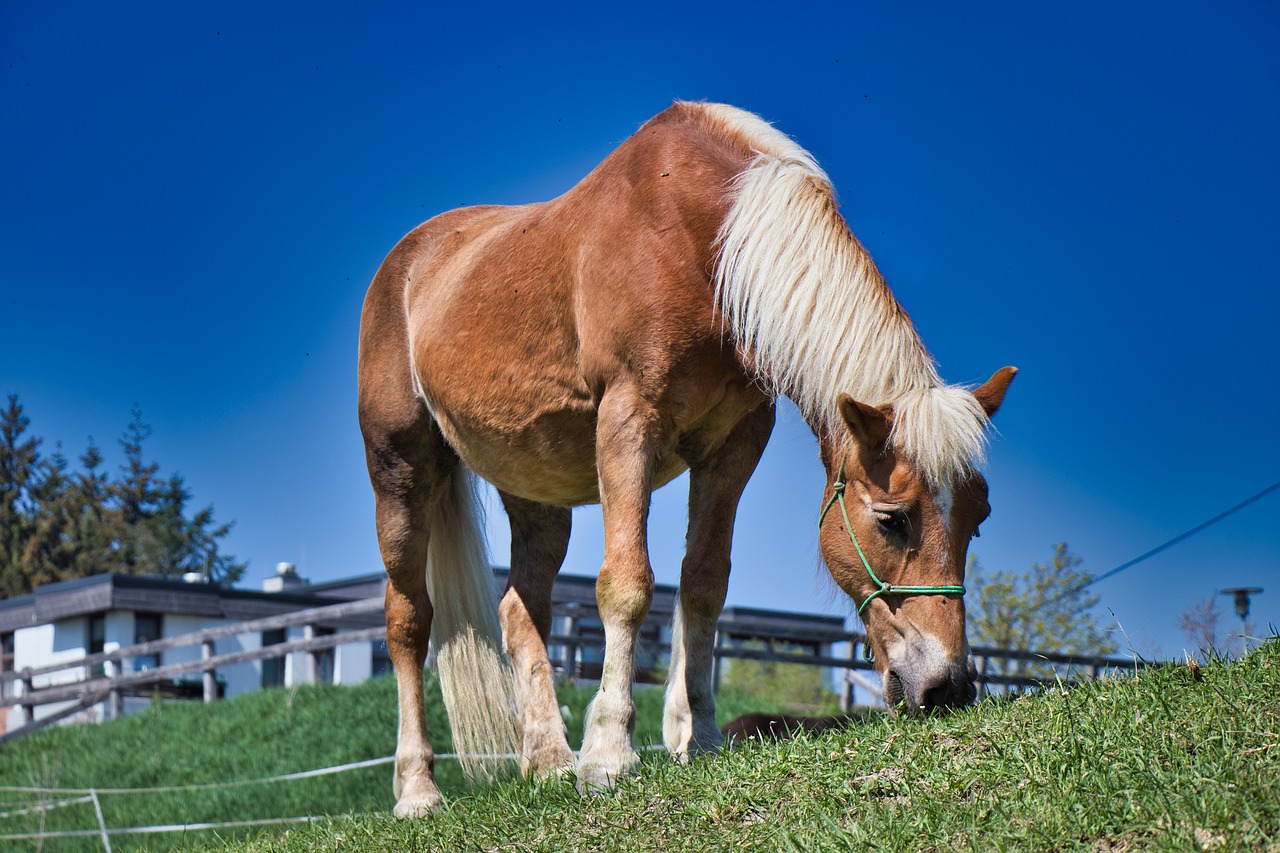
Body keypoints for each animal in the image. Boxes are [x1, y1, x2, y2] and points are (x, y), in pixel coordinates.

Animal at [355, 97, 1013, 809]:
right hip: (400, 474)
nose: (948, 687)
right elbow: (627, 585)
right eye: (892, 519)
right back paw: (418, 788)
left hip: (535, 494)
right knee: (407, 621)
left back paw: (548, 760)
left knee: (520, 612)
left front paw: (699, 737)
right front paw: (609, 754)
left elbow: (703, 584)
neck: (707, 239)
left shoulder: (734, 445)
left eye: (977, 522)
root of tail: (406, 262)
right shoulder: (627, 422)